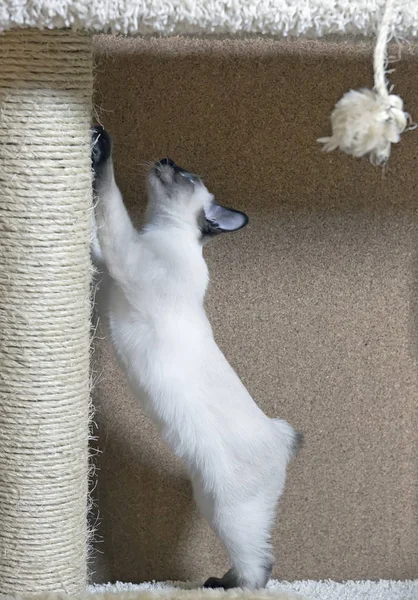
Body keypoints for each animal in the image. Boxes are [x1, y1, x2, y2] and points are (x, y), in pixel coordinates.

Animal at [91, 127, 302, 592]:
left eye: (185, 175)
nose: (166, 158)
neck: (160, 232)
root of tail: (281, 435)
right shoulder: (112, 265)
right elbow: (95, 240)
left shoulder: (126, 257)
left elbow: (108, 202)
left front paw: (100, 146)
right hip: (209, 503)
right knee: (259, 558)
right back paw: (218, 580)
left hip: (228, 514)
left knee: (260, 568)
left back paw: (228, 588)